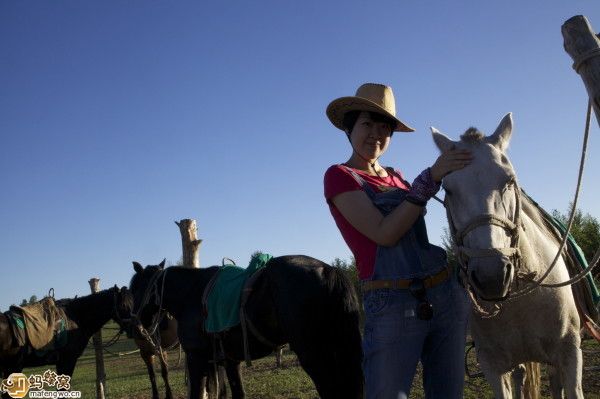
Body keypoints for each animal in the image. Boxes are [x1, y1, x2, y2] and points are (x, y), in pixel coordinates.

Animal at [129, 256, 364, 399]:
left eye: (133, 289)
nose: (136, 329)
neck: (191, 294)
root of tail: (329, 270)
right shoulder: (229, 361)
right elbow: (236, 393)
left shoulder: (197, 359)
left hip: (315, 356)